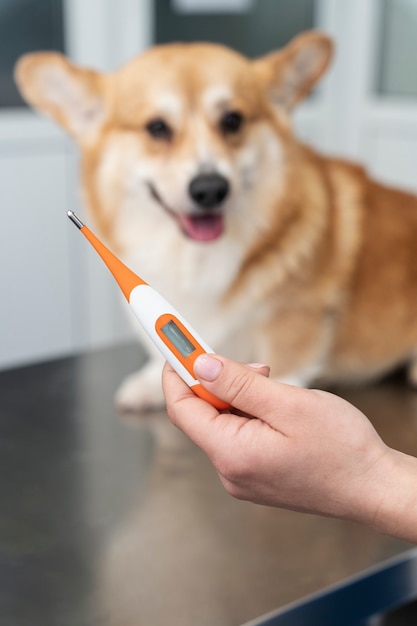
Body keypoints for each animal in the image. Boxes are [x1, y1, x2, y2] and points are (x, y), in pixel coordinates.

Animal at [15, 30, 417, 410]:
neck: (192, 258)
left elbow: (286, 369)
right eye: (156, 127)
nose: (210, 189)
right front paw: (147, 383)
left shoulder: (296, 315)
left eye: (232, 120)